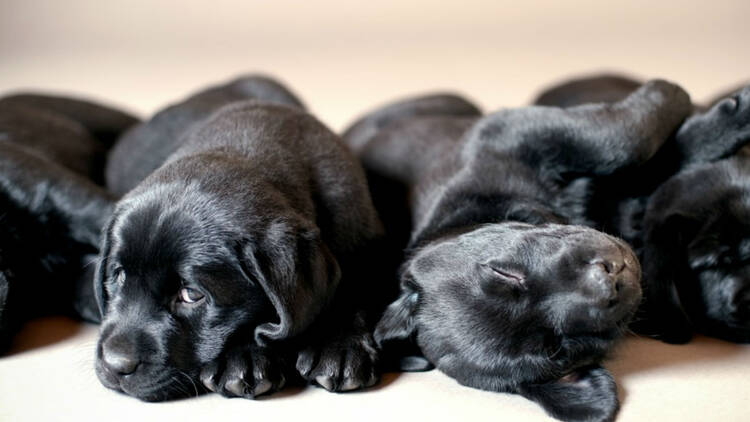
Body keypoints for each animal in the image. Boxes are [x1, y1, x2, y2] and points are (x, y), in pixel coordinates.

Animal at [95, 76, 388, 402]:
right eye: (119, 275)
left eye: (191, 294)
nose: (115, 364)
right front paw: (243, 359)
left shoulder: (365, 239)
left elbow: (357, 289)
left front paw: (339, 347)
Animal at [346, 80, 692, 422]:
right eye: (556, 346)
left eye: (504, 273)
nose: (608, 278)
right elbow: (626, 137)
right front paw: (671, 92)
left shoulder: (506, 133)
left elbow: (617, 142)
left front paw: (669, 92)